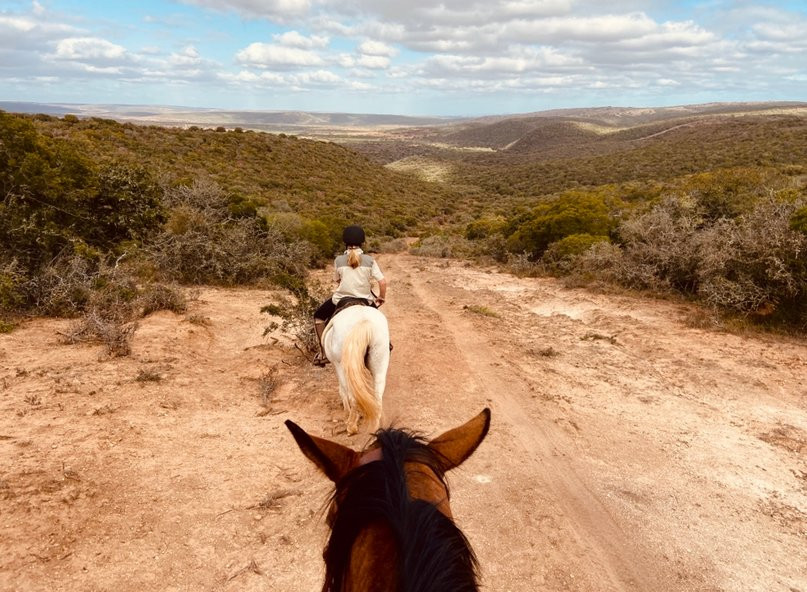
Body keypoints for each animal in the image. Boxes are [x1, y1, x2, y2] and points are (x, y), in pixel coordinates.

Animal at [322, 304, 390, 435]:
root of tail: (364, 320)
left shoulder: (336, 365)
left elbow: (343, 391)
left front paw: (346, 413)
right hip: (380, 358)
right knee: (378, 394)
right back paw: (374, 426)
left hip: (342, 365)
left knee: (351, 394)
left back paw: (351, 426)